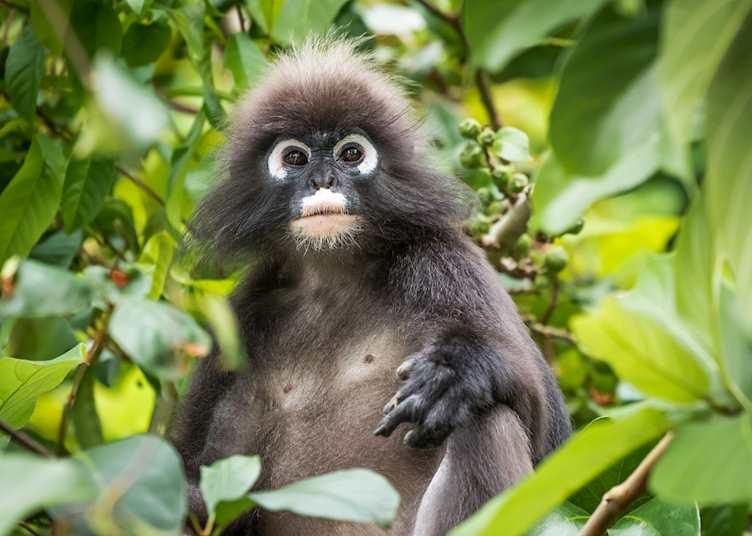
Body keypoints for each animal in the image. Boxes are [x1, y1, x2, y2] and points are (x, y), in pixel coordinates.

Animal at [170, 38, 571, 536]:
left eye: (351, 154)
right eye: (295, 157)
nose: (324, 180)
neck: (333, 276)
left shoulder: (442, 258)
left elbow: (546, 427)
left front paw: (452, 374)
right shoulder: (245, 311)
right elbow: (188, 472)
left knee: (486, 421)